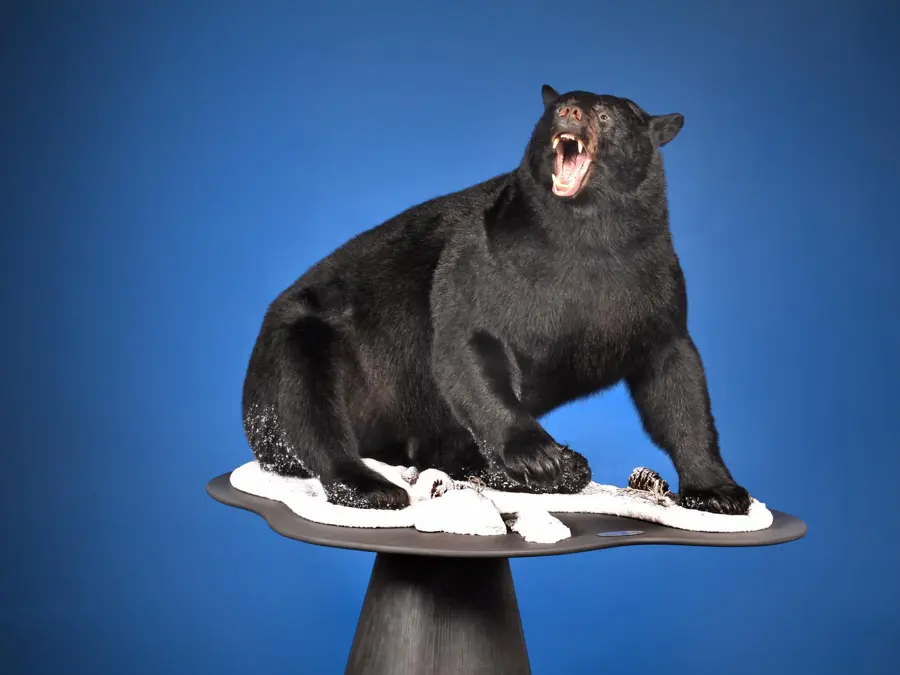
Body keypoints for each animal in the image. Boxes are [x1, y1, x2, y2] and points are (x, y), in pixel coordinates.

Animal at [240, 84, 752, 516]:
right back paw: (376, 489)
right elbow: (480, 373)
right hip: (304, 338)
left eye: (606, 115)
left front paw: (718, 492)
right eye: (554, 107)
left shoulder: (662, 326)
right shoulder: (470, 292)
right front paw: (537, 456)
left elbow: (684, 406)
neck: (591, 241)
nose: (569, 111)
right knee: (314, 418)